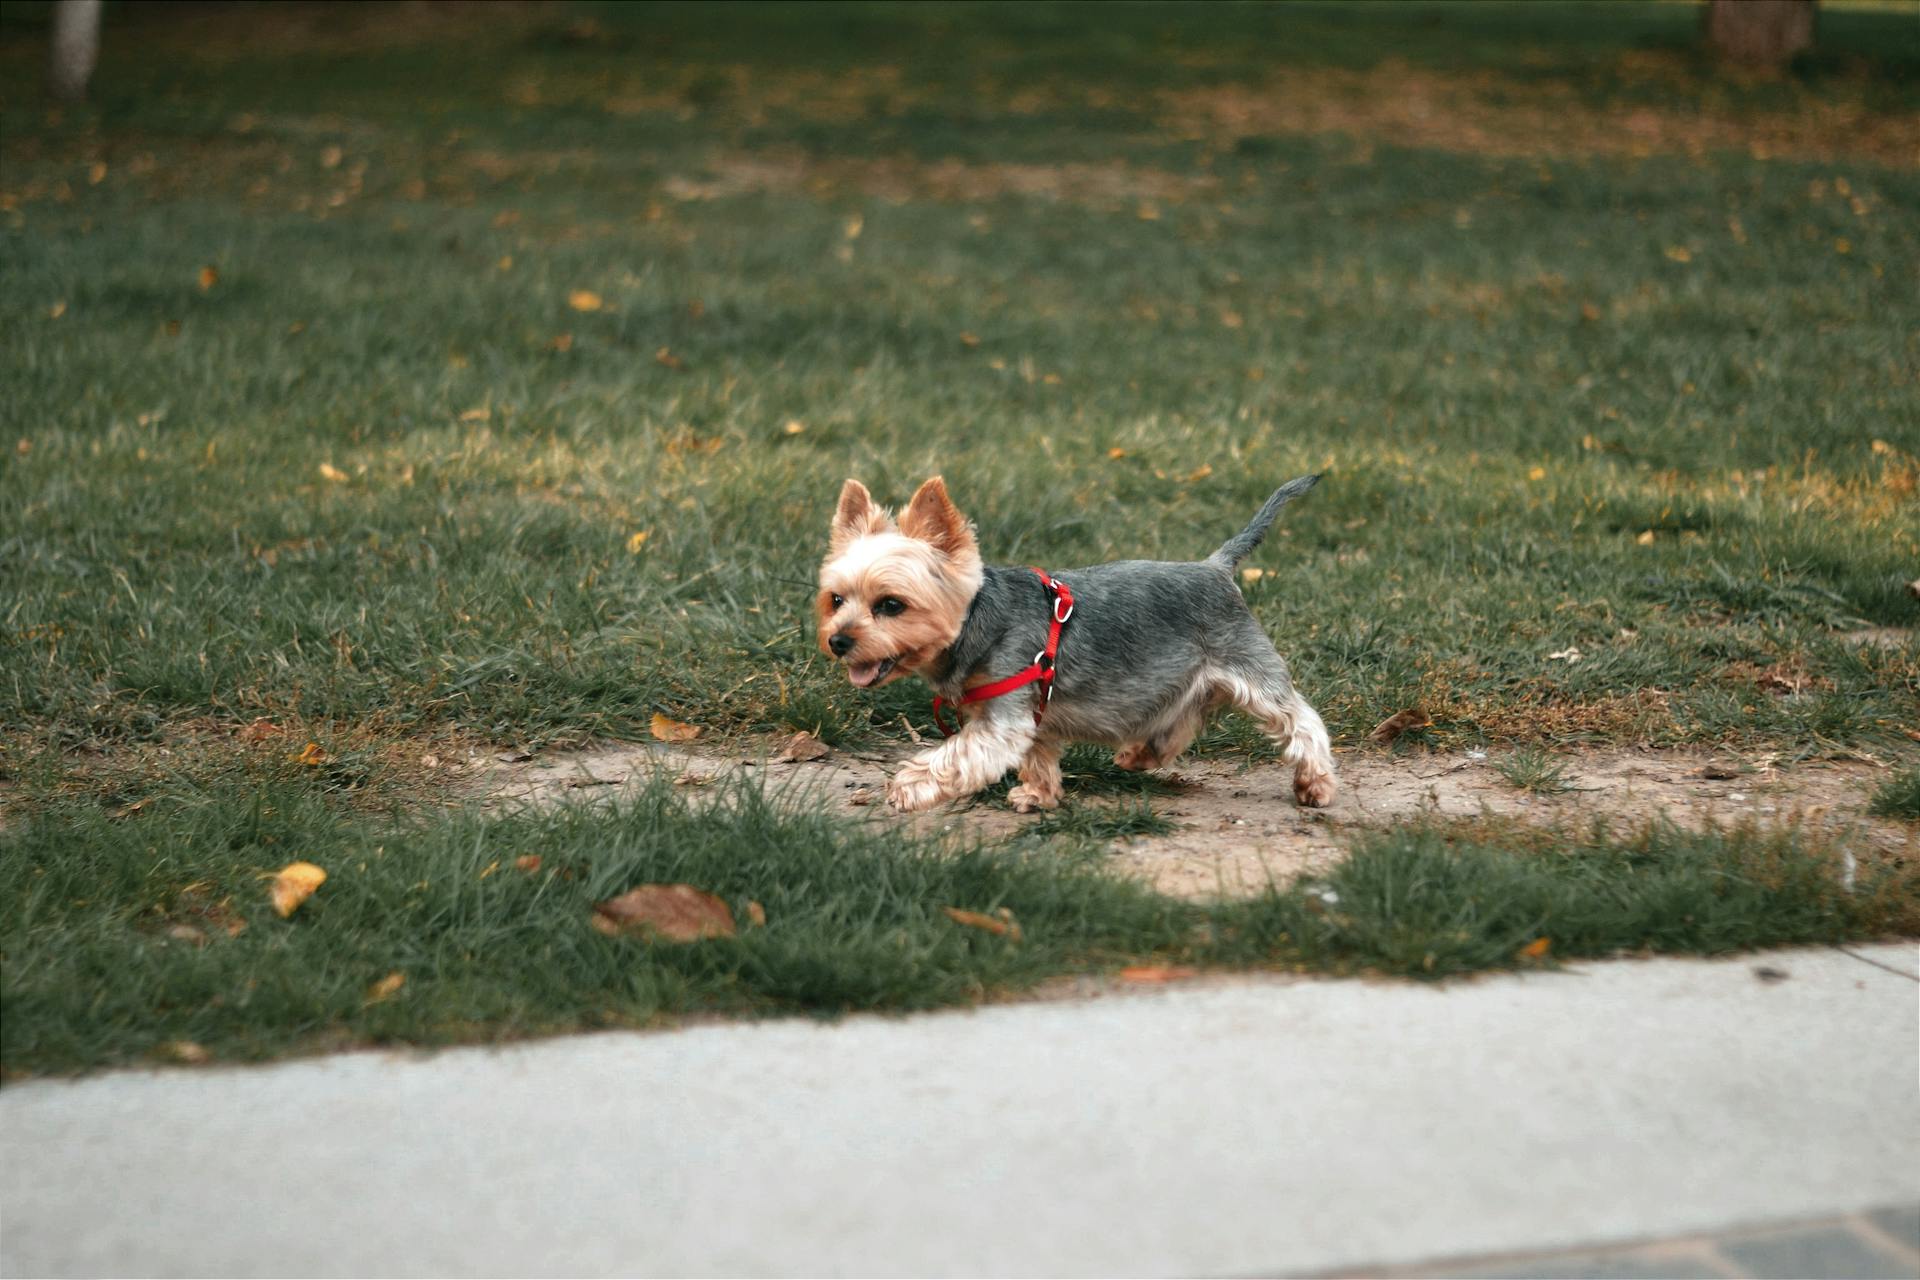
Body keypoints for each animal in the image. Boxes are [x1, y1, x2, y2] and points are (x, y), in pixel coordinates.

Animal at [817, 475, 1344, 817]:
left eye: (891, 604)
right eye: (836, 599)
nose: (838, 641)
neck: (977, 620)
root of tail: (1215, 566)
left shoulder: (1002, 717)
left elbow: (957, 755)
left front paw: (908, 786)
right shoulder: (1032, 710)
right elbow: (1038, 754)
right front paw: (1039, 796)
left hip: (1249, 666)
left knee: (1299, 719)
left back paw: (1315, 784)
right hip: (1179, 674)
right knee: (1184, 715)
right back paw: (1141, 755)